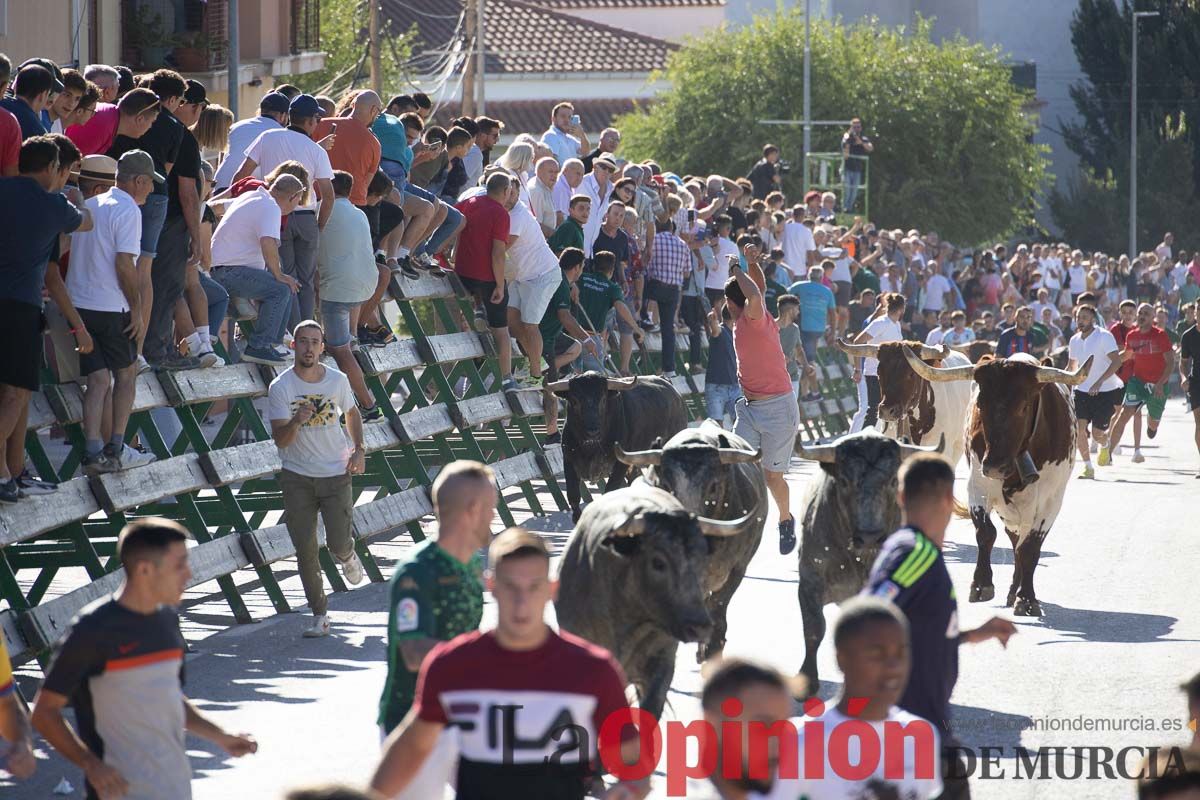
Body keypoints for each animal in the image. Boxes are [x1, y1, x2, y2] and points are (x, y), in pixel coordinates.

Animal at [544, 374, 686, 525]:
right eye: (575, 401)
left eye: (603, 399)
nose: (592, 431)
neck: (591, 448)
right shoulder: (569, 460)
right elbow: (573, 496)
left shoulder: (620, 464)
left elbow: (610, 490)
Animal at [792, 431, 950, 690]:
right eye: (844, 481)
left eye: (894, 481)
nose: (870, 537)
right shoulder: (809, 581)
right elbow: (814, 628)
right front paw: (807, 680)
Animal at [902, 347, 1094, 618]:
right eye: (981, 404)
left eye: (1023, 406)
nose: (993, 466)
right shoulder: (977, 487)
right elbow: (986, 533)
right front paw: (981, 584)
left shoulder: (1050, 502)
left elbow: (1030, 548)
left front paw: (1027, 598)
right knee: (1013, 541)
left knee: (1021, 546)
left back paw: (1017, 592)